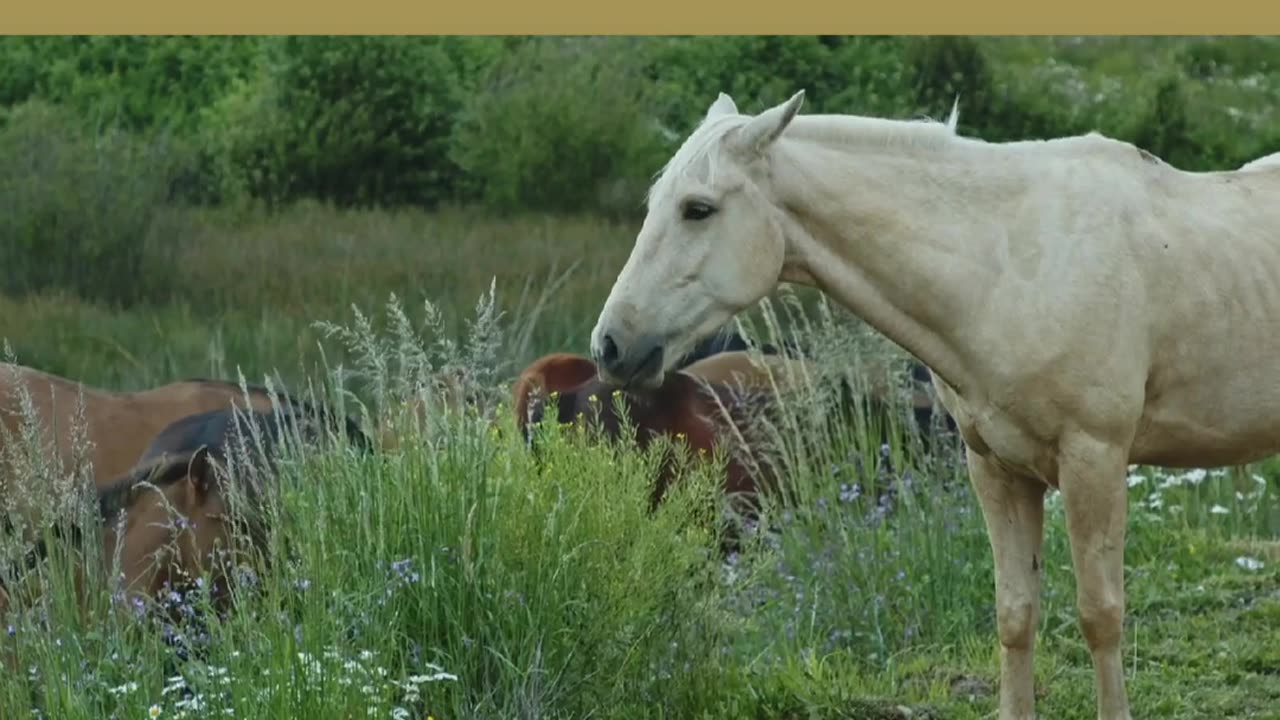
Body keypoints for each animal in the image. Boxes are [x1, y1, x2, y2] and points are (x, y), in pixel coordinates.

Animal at [586, 87, 1280, 712]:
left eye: (698, 209)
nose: (610, 345)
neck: (1009, 265)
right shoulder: (995, 467)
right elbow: (1015, 615)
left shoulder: (1096, 461)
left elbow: (1100, 616)